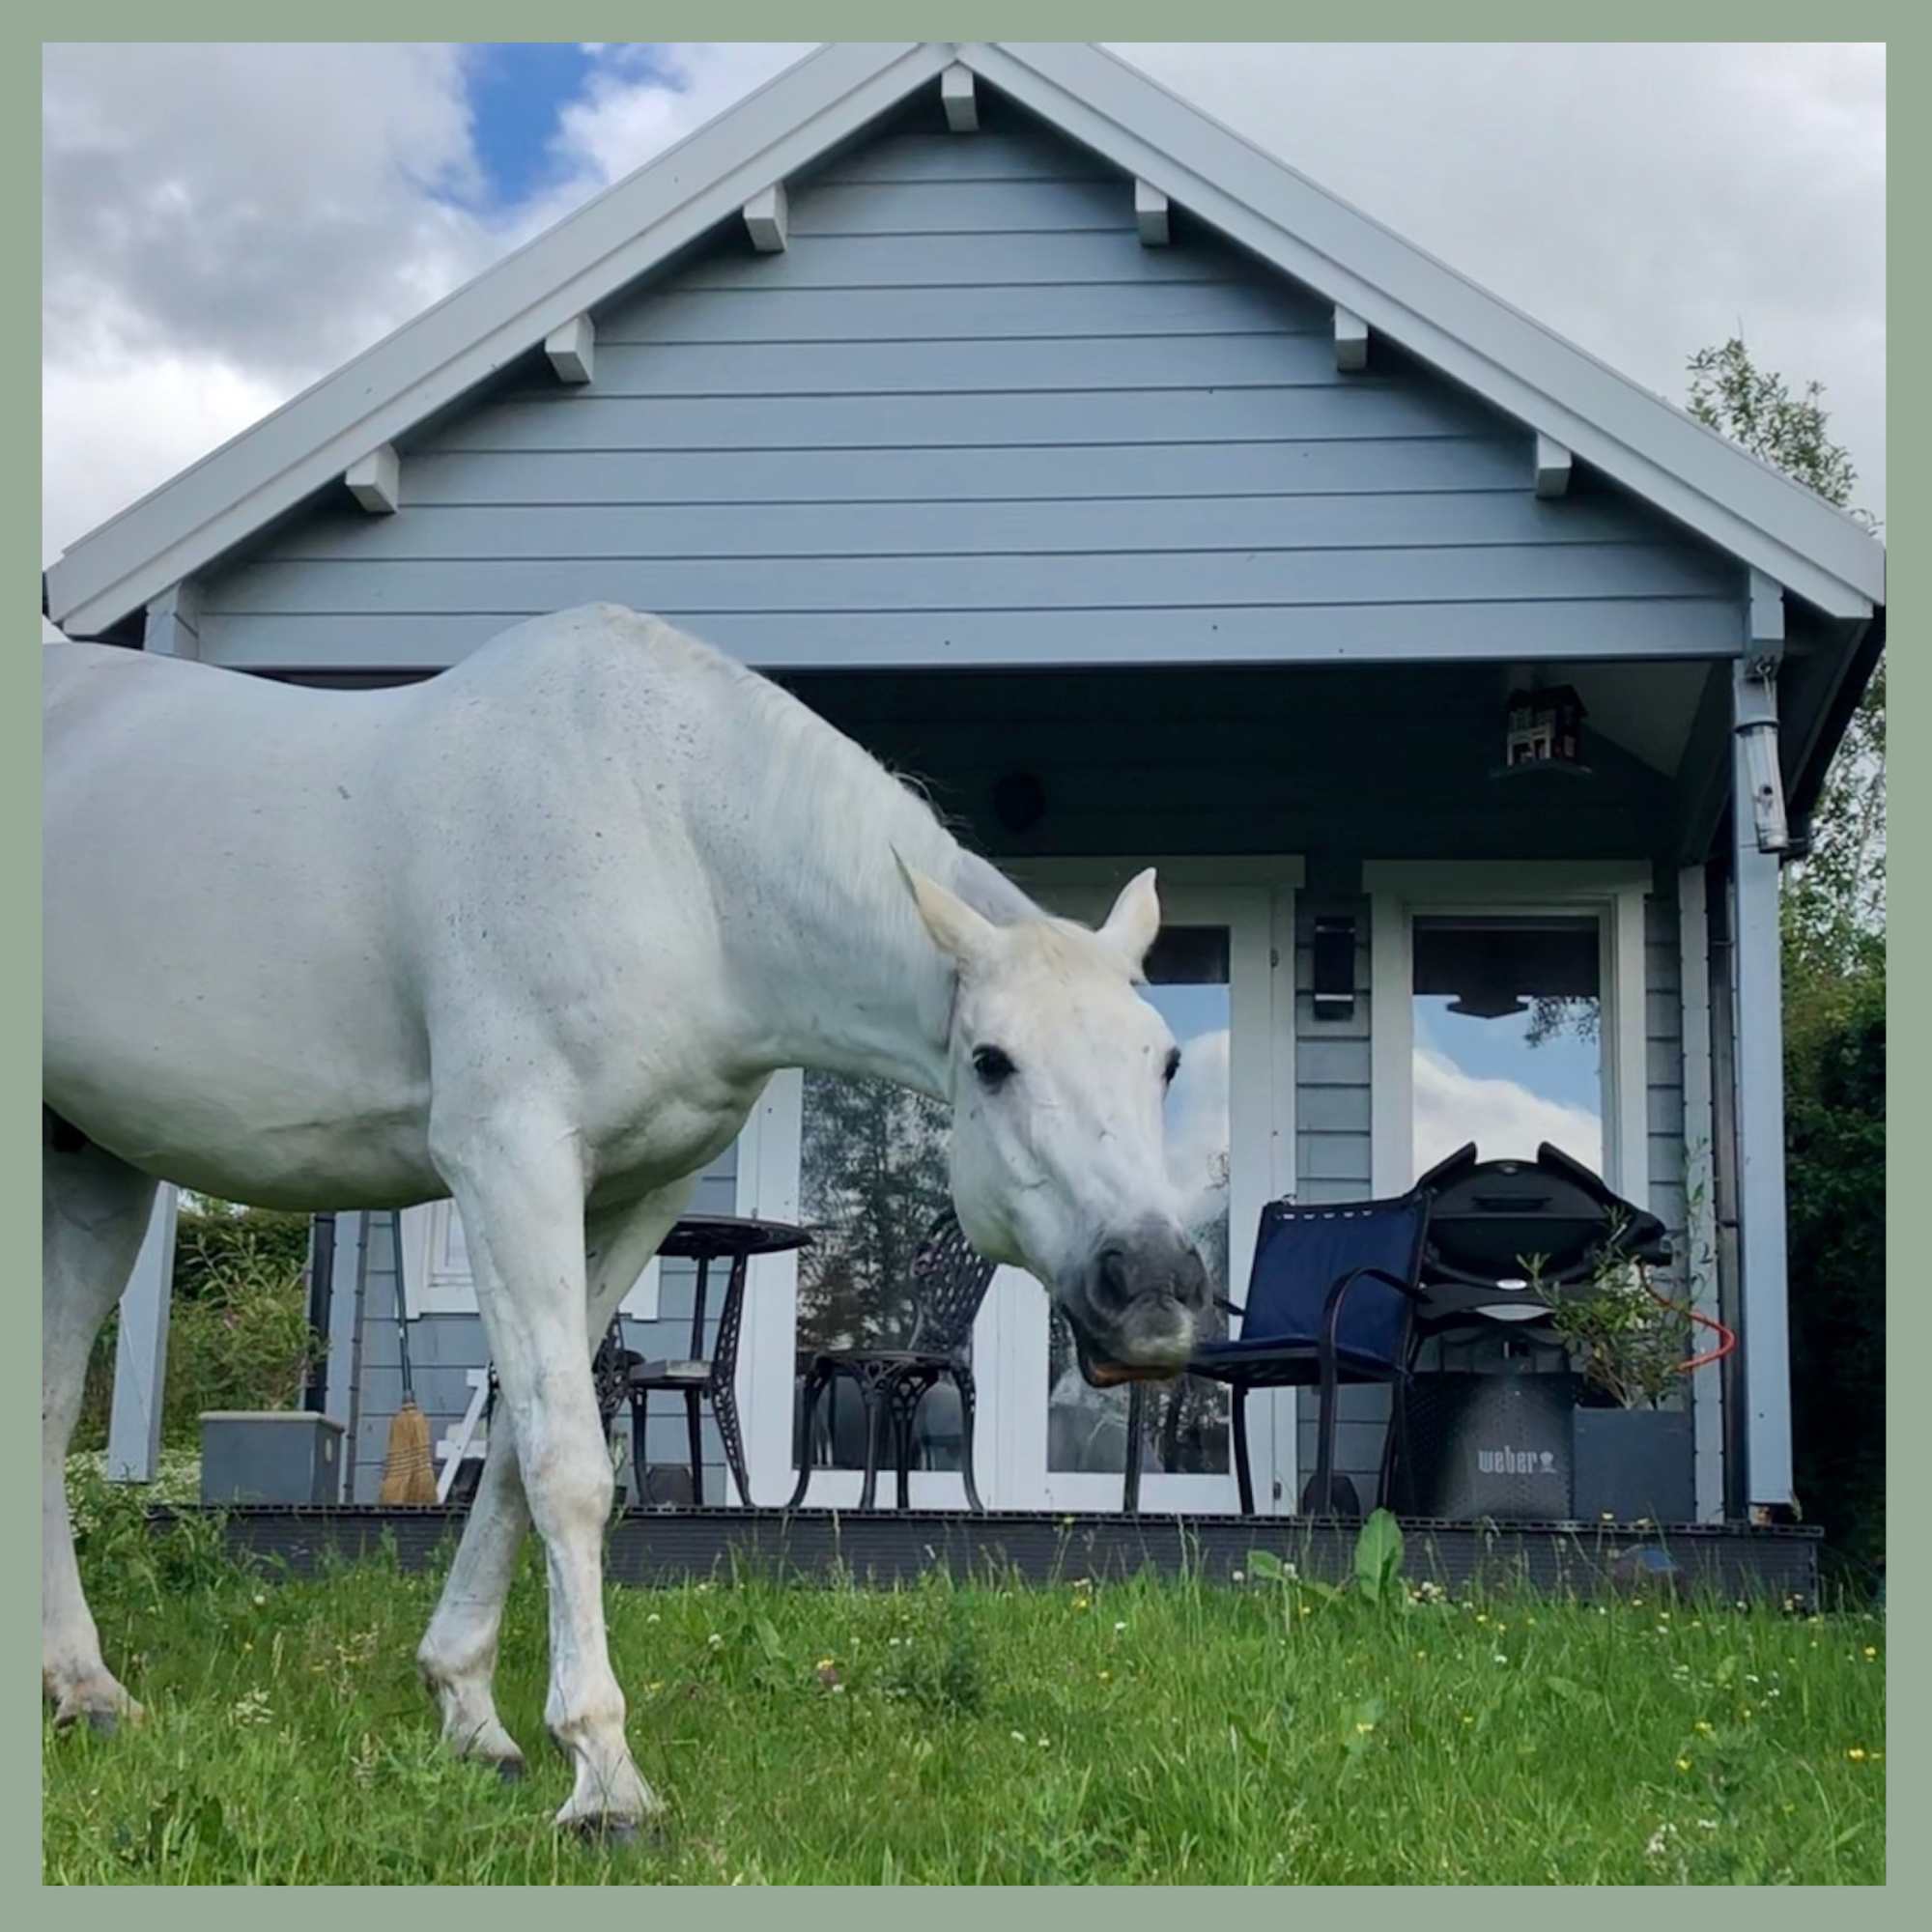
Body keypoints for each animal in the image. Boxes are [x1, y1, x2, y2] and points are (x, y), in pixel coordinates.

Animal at [42, 611, 1206, 1832]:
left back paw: (85, 1688)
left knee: (44, 1403)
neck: (669, 839)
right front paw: (602, 1771)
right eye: (991, 1059)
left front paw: (472, 1713)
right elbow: (567, 1459)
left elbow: (516, 1449)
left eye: (1164, 1057)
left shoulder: (637, 1194)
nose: (1156, 1287)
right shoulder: (509, 1159)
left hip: (95, 1168)